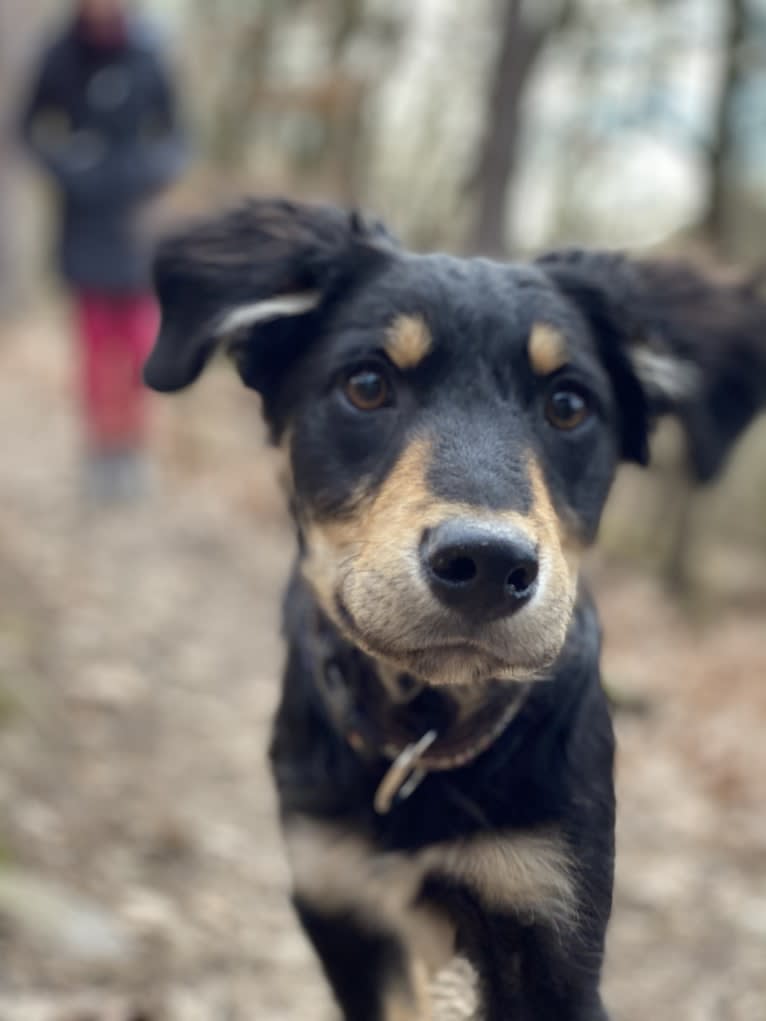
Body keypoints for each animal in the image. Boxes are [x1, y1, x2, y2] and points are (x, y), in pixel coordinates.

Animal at [142, 201, 766, 1021]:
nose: (488, 566)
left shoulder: (546, 919)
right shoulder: (337, 899)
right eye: (366, 384)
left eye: (569, 404)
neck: (423, 736)